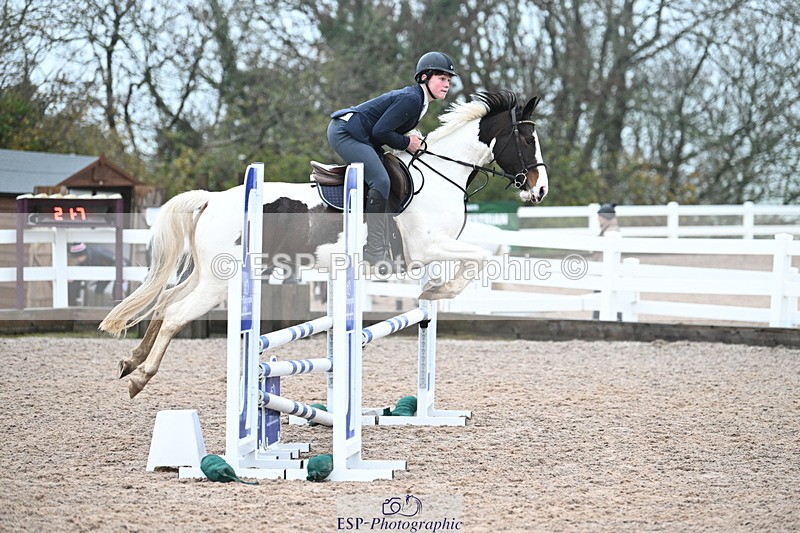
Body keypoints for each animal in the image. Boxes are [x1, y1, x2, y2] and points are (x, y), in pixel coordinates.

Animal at [100, 90, 549, 398]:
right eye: (527, 141)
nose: (540, 189)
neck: (440, 179)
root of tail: (212, 198)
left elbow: (477, 258)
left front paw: (435, 291)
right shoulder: (426, 249)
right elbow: (481, 257)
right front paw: (439, 291)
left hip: (206, 274)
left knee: (164, 302)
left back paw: (130, 362)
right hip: (219, 281)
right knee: (175, 314)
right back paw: (141, 377)